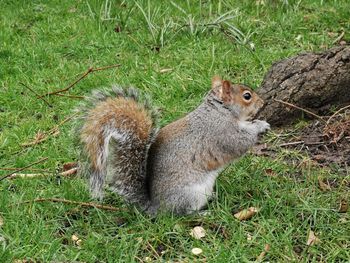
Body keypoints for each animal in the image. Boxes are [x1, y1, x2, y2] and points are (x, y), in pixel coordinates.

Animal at [75, 76, 270, 217]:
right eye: (247, 96)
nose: (263, 103)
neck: (220, 111)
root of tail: (156, 208)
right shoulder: (222, 133)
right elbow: (240, 143)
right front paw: (260, 126)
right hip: (190, 194)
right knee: (181, 214)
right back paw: (201, 214)